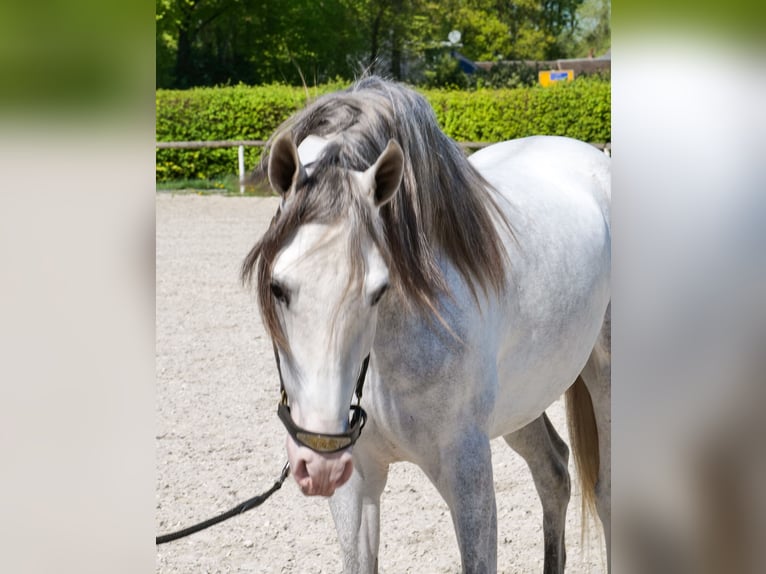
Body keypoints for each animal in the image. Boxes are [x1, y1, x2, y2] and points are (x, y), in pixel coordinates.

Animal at [242, 76, 611, 573]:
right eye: (278, 286)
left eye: (379, 289)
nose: (318, 459)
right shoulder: (356, 480)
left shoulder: (468, 474)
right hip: (523, 401)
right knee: (553, 472)